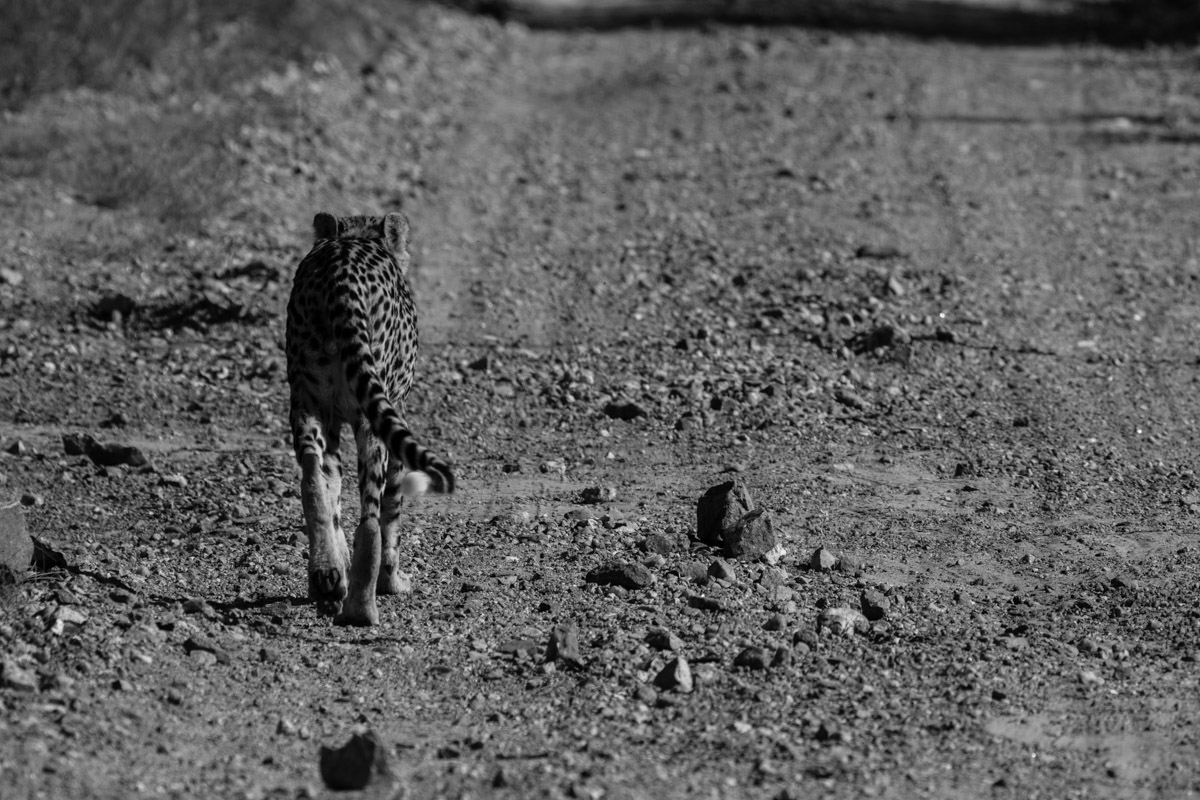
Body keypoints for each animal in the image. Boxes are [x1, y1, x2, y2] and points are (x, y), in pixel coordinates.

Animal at [286, 211, 455, 626]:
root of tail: (341, 272)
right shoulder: (394, 411)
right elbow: (393, 506)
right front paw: (392, 581)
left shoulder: (330, 417)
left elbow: (331, 490)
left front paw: (333, 575)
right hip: (369, 420)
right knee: (371, 516)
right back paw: (362, 606)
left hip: (307, 401)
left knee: (312, 479)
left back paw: (326, 577)